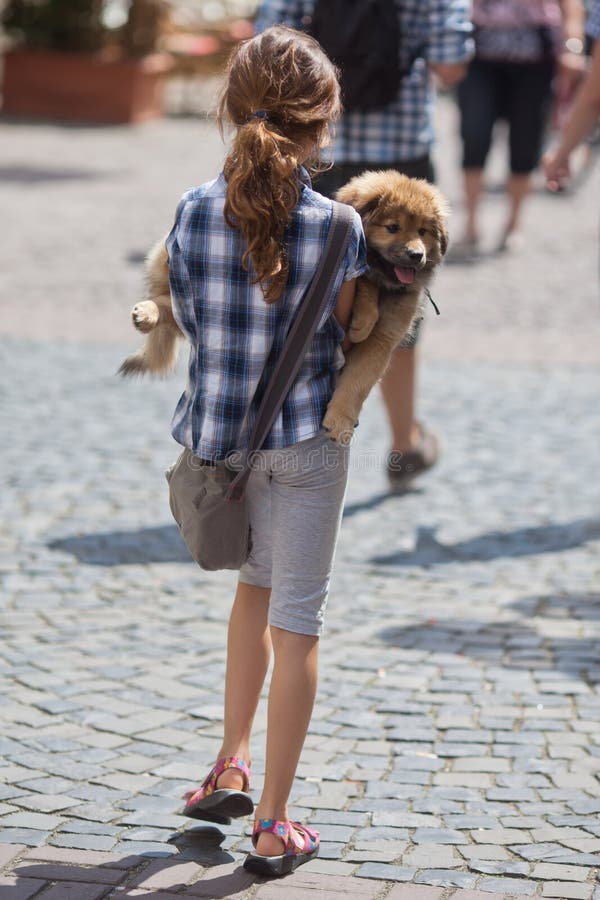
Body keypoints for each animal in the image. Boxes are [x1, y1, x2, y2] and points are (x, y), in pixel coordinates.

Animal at [324, 170, 446, 442]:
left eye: (423, 231)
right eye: (392, 227)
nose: (416, 255)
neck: (387, 287)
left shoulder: (385, 336)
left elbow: (358, 380)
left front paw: (339, 420)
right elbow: (365, 280)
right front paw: (364, 320)